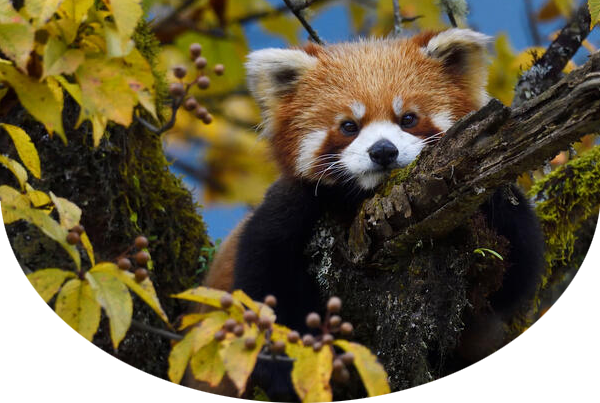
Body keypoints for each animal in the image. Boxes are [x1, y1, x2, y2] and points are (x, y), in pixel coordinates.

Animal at [192, 29, 544, 400]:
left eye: (408, 118)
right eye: (349, 126)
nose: (383, 151)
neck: (362, 199)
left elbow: (513, 277)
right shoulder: (288, 209)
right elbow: (263, 283)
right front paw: (285, 368)